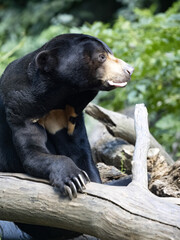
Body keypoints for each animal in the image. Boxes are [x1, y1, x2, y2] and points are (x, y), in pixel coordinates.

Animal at [0, 33, 134, 238]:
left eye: (109, 53)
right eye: (102, 57)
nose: (129, 70)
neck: (61, 97)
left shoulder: (70, 116)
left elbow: (81, 153)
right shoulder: (21, 108)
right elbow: (32, 153)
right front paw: (73, 178)